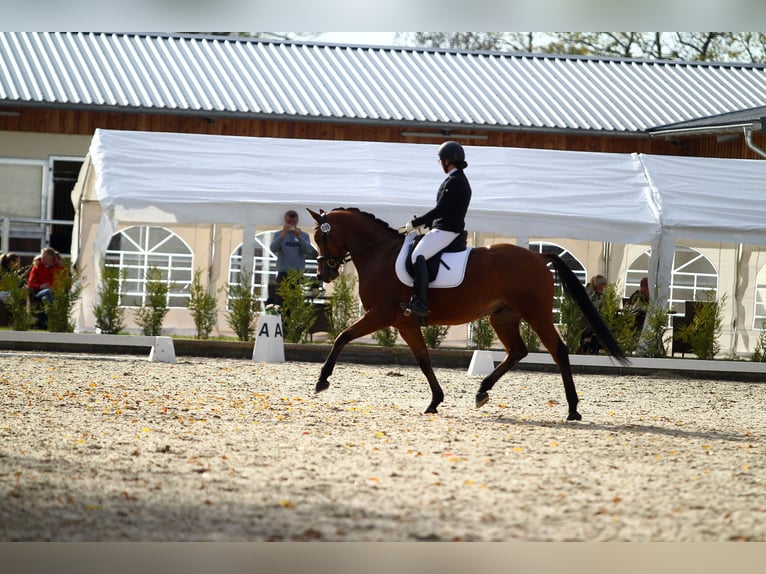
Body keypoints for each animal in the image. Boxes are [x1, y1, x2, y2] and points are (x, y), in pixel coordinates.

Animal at [308, 208, 632, 424]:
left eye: (321, 238)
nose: (324, 273)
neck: (380, 255)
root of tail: (539, 256)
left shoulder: (381, 315)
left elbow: (341, 337)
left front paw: (322, 381)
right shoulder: (404, 323)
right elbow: (424, 360)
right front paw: (435, 401)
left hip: (536, 313)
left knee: (558, 350)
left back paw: (573, 409)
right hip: (502, 317)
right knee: (517, 350)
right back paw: (482, 392)